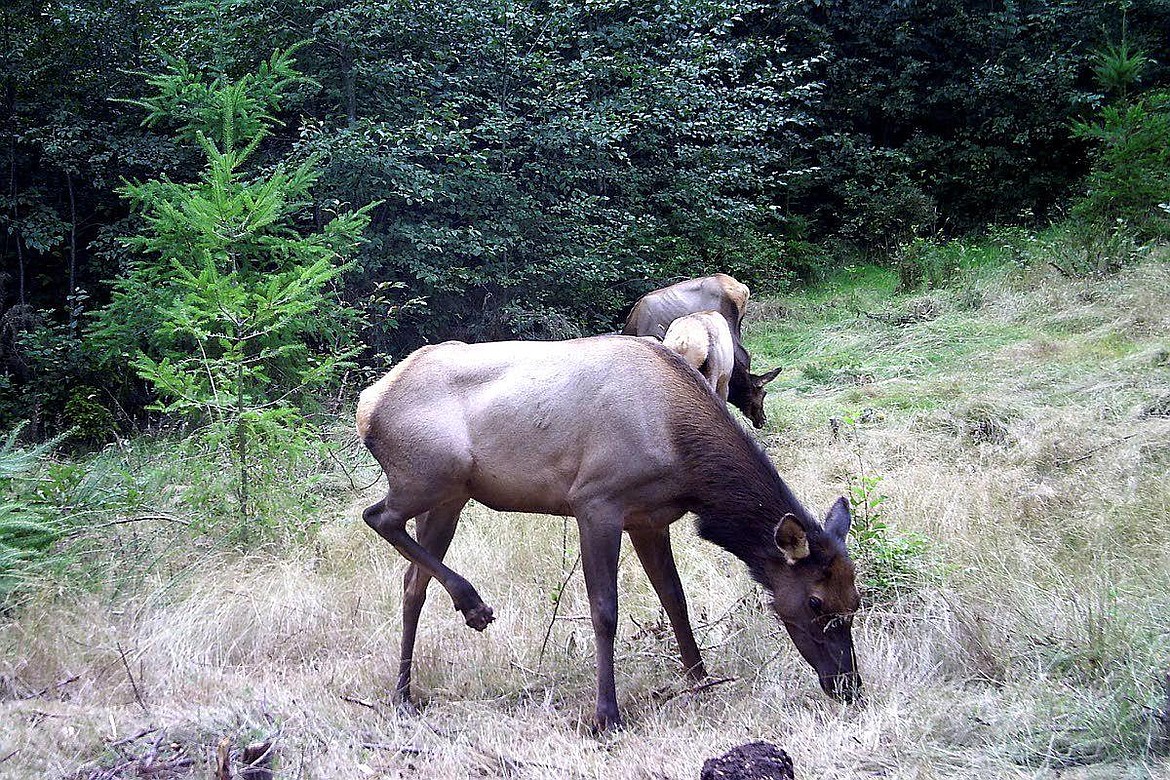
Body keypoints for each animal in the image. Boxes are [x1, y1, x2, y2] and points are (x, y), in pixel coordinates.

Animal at [355, 336, 861, 734]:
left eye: (854, 602)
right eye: (815, 602)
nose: (848, 684)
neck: (684, 458)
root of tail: (367, 406)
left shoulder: (649, 519)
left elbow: (675, 599)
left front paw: (700, 679)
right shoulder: (596, 502)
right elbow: (605, 611)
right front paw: (606, 714)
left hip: (450, 498)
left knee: (411, 584)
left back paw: (404, 693)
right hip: (432, 475)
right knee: (376, 516)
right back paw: (472, 604)